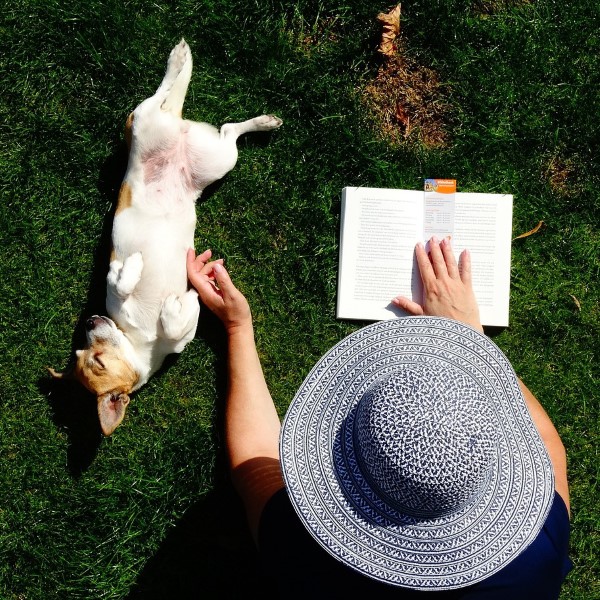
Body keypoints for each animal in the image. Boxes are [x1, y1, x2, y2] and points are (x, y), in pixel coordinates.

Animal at [48, 38, 282, 436]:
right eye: (81, 351)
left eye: (96, 360)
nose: (91, 320)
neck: (144, 341)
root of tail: (176, 127)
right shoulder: (180, 337)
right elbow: (178, 321)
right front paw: (179, 302)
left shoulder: (117, 294)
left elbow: (119, 280)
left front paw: (133, 269)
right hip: (218, 157)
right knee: (224, 127)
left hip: (152, 122)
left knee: (167, 94)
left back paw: (181, 60)